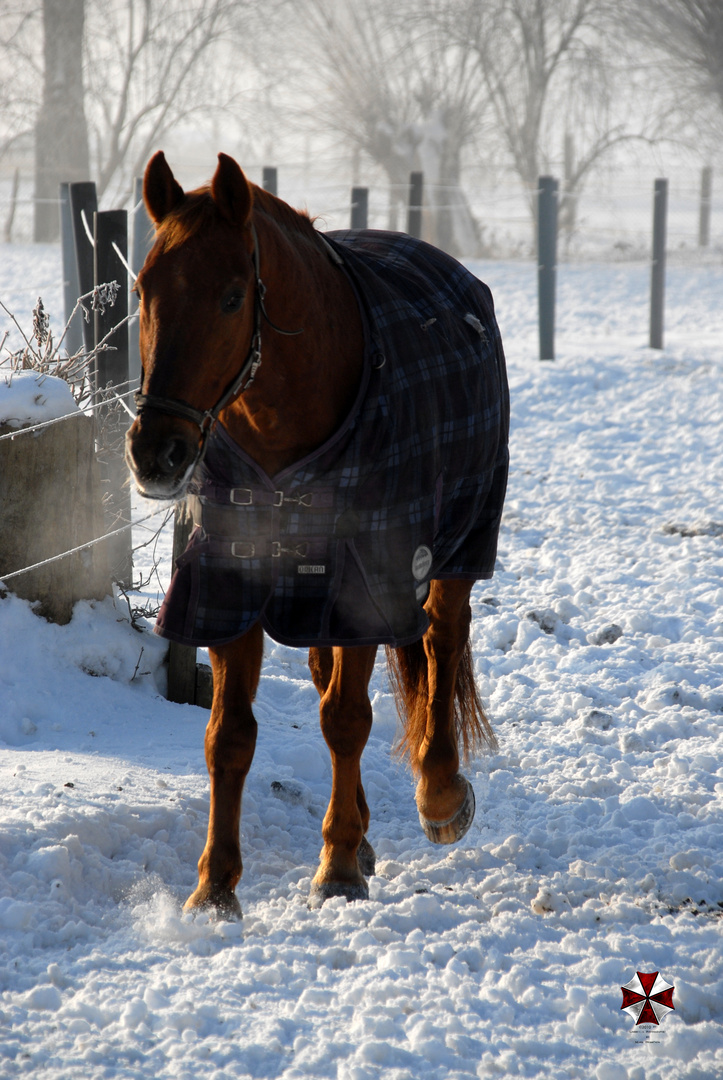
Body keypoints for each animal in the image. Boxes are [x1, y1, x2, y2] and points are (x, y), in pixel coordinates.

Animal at [125, 152, 507, 915]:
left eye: (232, 296)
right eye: (144, 287)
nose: (157, 451)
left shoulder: (361, 580)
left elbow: (346, 719)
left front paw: (334, 869)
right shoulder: (231, 583)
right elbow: (229, 736)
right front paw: (215, 886)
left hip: (456, 547)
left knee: (441, 641)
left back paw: (439, 795)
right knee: (330, 669)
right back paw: (363, 831)